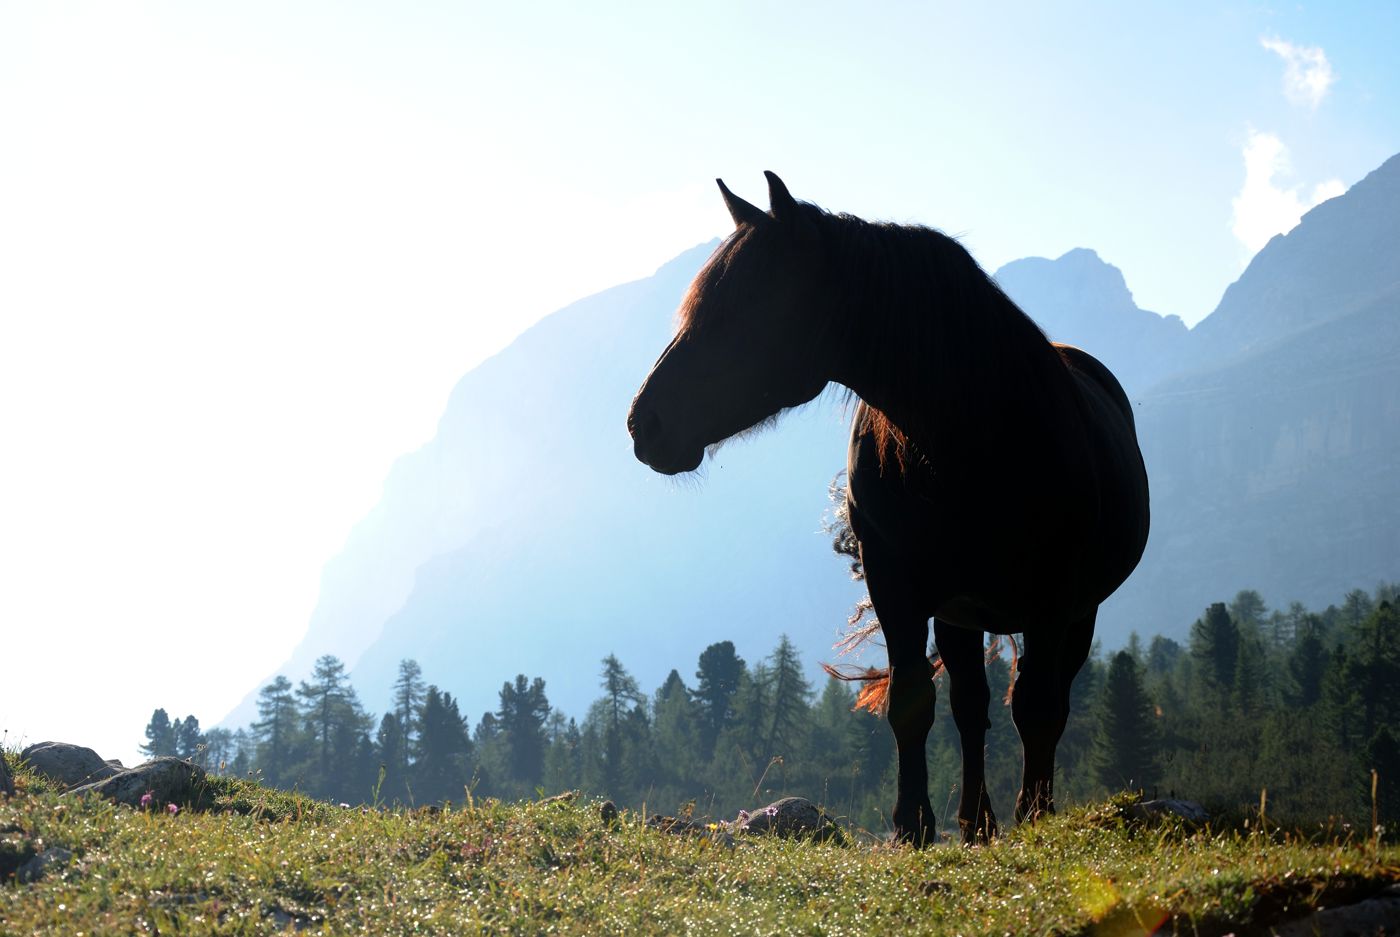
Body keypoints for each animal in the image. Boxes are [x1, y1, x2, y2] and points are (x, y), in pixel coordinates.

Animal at [627, 172, 1149, 846]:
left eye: (743, 308)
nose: (644, 424)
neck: (973, 436)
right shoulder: (896, 585)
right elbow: (912, 702)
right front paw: (914, 825)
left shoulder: (1056, 602)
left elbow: (1037, 708)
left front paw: (1035, 818)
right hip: (960, 614)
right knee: (971, 707)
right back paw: (974, 821)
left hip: (1071, 614)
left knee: (1038, 701)